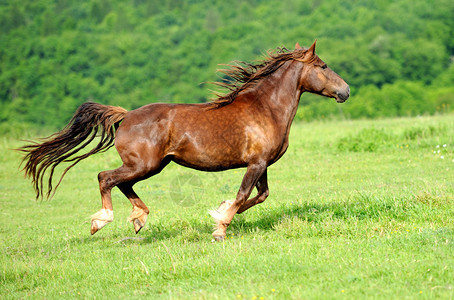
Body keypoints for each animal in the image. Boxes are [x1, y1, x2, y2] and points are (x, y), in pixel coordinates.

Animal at [19, 41, 350, 240]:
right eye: (322, 66)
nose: (345, 91)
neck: (265, 108)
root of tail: (126, 116)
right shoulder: (255, 163)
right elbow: (244, 195)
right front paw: (220, 228)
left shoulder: (262, 164)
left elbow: (259, 196)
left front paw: (220, 212)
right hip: (145, 164)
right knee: (106, 177)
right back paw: (102, 220)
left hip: (150, 166)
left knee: (122, 183)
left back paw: (139, 218)